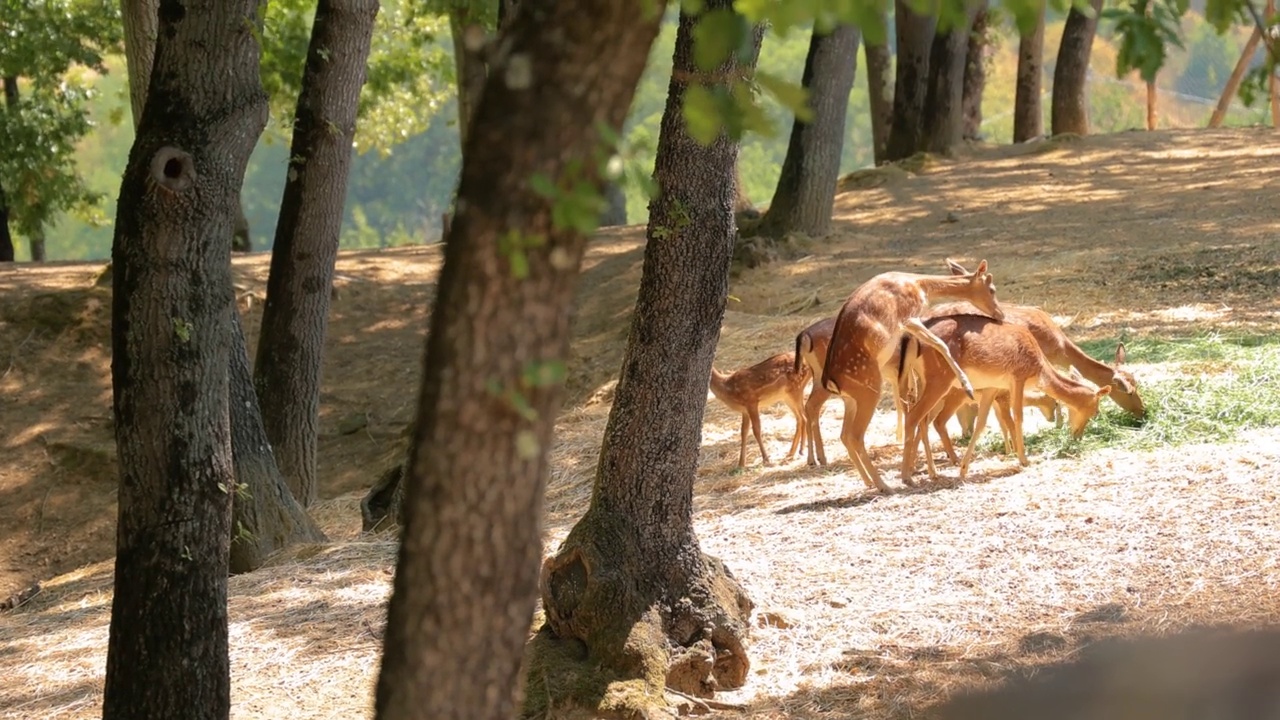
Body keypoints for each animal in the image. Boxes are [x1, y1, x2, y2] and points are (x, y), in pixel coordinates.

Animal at [814, 258, 1003, 491]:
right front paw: (967, 386)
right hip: (869, 389)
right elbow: (939, 343)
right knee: (855, 435)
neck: (920, 286)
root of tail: (831, 381)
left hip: (851, 399)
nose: (1001, 314)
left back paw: (869, 481)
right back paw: (884, 485)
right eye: (992, 288)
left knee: (844, 434)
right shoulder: (909, 316)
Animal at [896, 313, 1116, 481]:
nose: (1078, 436)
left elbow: (981, 423)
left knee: (922, 418)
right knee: (915, 416)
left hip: (924, 381)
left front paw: (964, 470)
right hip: (940, 379)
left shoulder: (993, 387)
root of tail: (913, 341)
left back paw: (931, 471)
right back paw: (907, 476)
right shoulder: (1017, 377)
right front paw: (1024, 459)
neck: (1040, 371)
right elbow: (1017, 416)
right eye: (1095, 410)